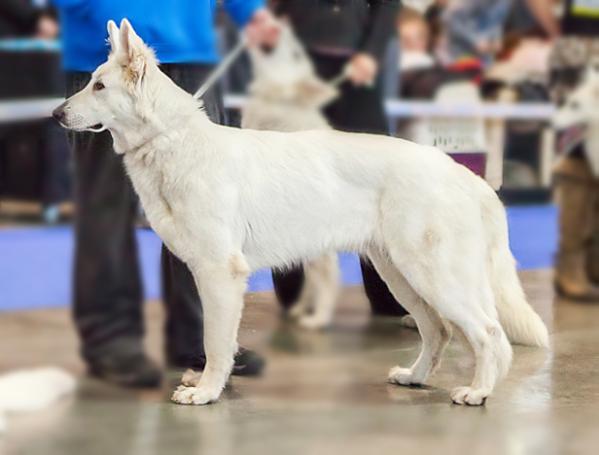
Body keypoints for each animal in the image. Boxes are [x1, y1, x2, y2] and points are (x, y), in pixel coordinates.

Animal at [55, 19, 548, 408]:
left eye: (99, 86)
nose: (56, 113)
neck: (171, 140)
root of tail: (464, 173)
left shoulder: (219, 273)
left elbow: (216, 343)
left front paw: (207, 392)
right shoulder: (202, 271)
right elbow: (216, 340)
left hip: (434, 277)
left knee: (488, 333)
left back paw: (478, 392)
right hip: (401, 276)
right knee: (440, 331)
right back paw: (415, 377)